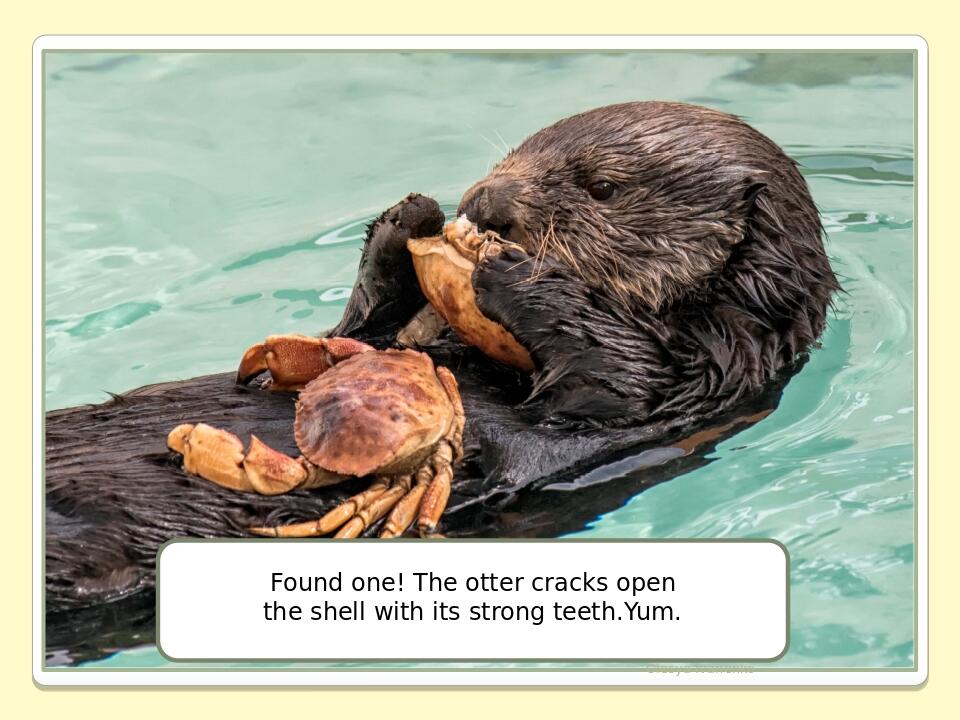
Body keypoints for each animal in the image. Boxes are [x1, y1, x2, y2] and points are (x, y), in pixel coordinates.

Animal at [45, 101, 837, 663]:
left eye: (604, 187)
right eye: (516, 149)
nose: (486, 203)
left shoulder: (697, 382)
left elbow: (613, 379)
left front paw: (515, 272)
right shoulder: (391, 344)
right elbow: (368, 335)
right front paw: (407, 223)